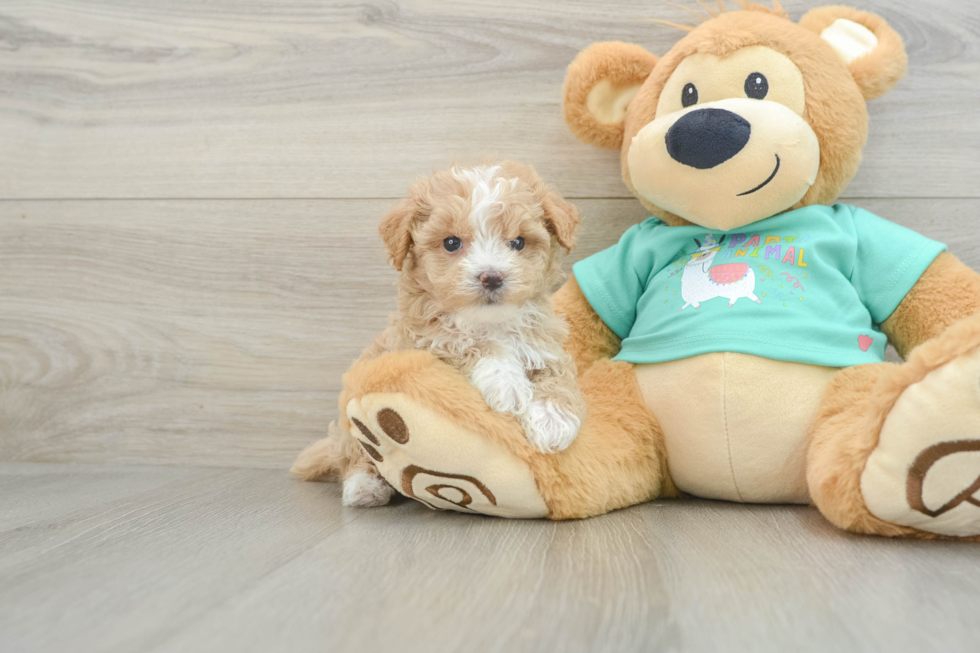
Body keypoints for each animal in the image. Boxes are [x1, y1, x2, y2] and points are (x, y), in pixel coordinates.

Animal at [290, 160, 580, 506]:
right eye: (451, 243)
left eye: (519, 242)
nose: (492, 276)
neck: (489, 322)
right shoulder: (426, 343)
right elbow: (468, 345)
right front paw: (507, 384)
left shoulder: (543, 342)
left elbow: (556, 372)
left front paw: (553, 419)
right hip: (350, 422)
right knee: (355, 455)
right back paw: (364, 486)